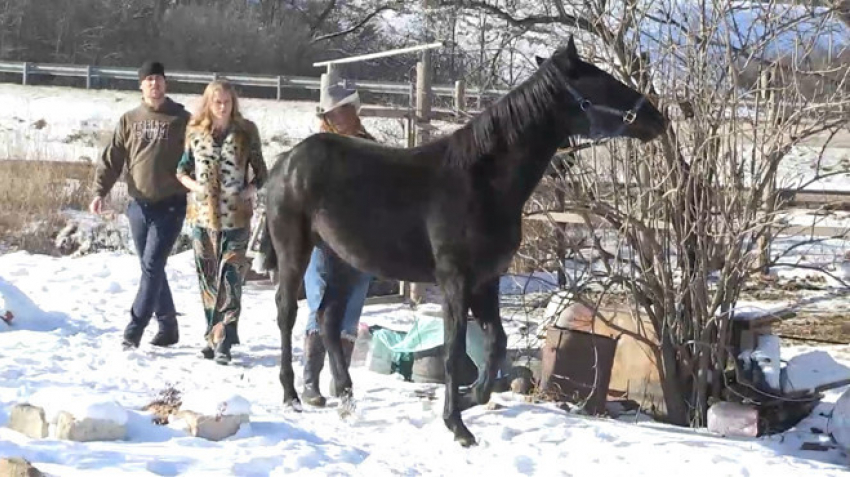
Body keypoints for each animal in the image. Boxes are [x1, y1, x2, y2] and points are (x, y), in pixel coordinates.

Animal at [262, 35, 664, 444]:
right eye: (604, 82)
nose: (657, 119)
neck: (480, 182)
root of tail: (286, 162)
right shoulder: (455, 280)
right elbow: (454, 351)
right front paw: (456, 424)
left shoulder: (487, 280)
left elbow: (496, 343)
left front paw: (471, 398)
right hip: (295, 250)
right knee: (287, 311)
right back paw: (291, 394)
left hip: (343, 260)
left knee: (328, 319)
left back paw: (346, 397)